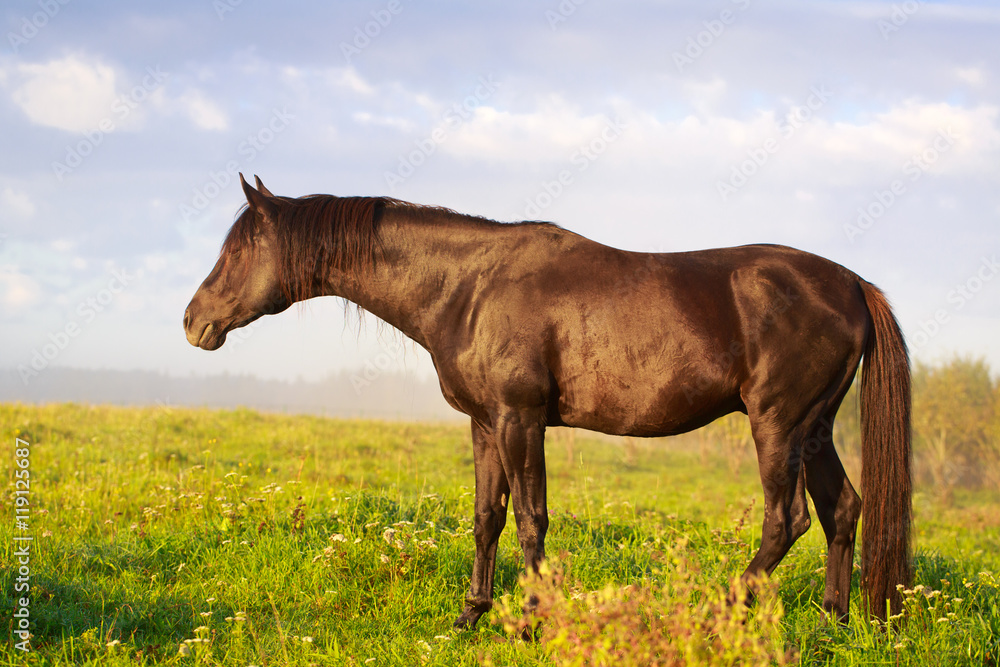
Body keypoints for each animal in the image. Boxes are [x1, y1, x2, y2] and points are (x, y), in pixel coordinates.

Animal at [184, 174, 911, 626]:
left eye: (242, 248)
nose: (194, 321)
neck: (470, 286)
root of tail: (851, 283)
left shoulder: (520, 419)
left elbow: (532, 519)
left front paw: (536, 616)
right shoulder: (484, 425)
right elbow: (487, 517)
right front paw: (471, 614)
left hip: (777, 424)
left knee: (786, 520)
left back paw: (720, 611)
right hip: (813, 428)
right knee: (842, 509)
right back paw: (831, 619)